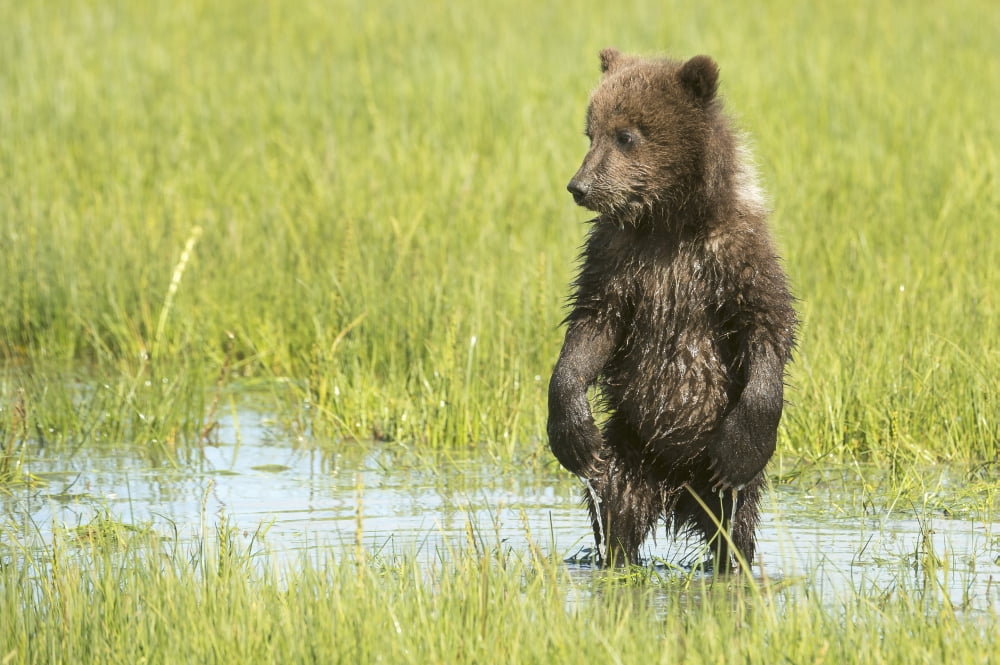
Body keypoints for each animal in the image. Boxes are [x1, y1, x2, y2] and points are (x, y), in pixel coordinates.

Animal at [547, 48, 797, 570]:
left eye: (626, 135)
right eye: (591, 131)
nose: (579, 186)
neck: (669, 221)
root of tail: (677, 489)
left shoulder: (736, 255)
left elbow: (767, 327)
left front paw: (742, 447)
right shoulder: (615, 259)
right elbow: (591, 327)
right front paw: (574, 436)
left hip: (711, 480)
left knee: (734, 523)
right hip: (629, 447)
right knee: (615, 504)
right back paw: (616, 553)